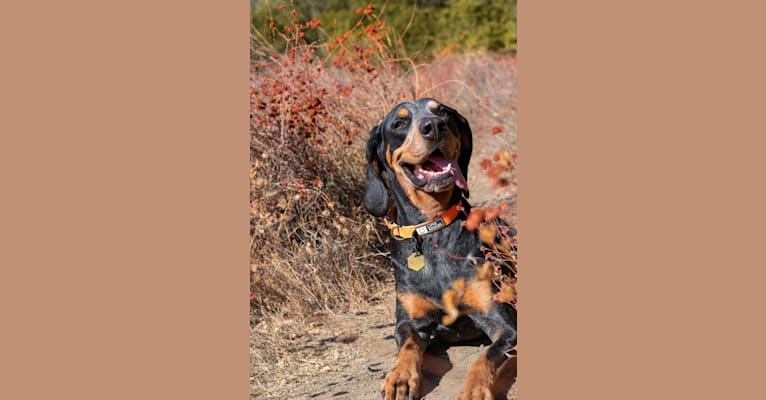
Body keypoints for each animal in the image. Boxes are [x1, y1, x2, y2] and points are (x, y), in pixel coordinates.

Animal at [364, 97, 520, 400]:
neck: (432, 228)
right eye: (399, 123)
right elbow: (407, 346)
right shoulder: (408, 323)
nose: (434, 126)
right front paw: (399, 377)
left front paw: (473, 391)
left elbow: (485, 358)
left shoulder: (505, 327)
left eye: (443, 113)